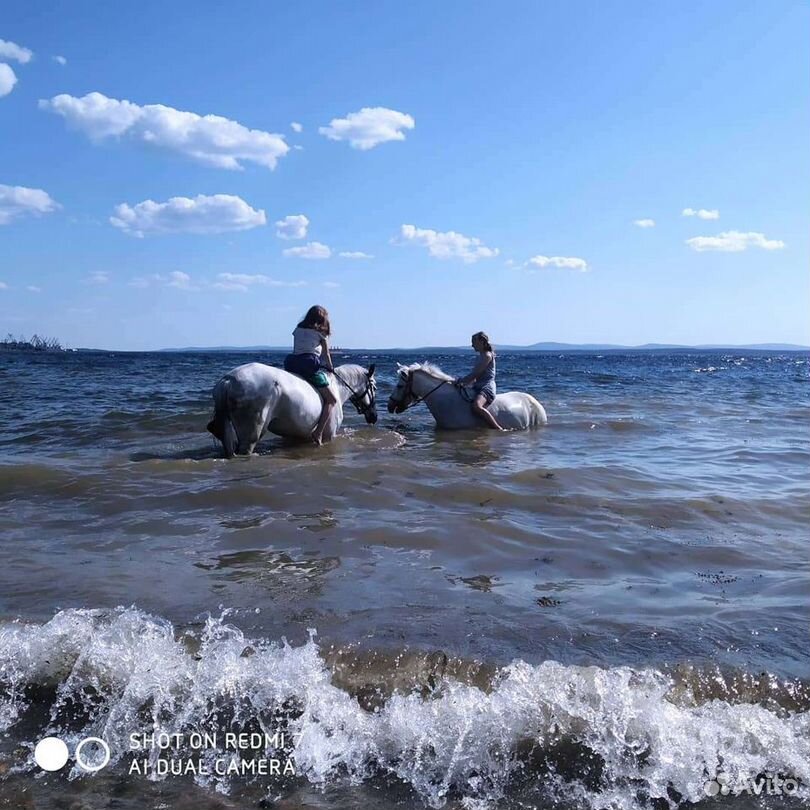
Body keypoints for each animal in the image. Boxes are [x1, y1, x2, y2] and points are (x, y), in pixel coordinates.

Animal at [205, 362, 376, 454]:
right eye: (374, 387)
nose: (374, 417)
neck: (337, 389)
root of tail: (228, 380)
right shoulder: (330, 435)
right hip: (251, 434)